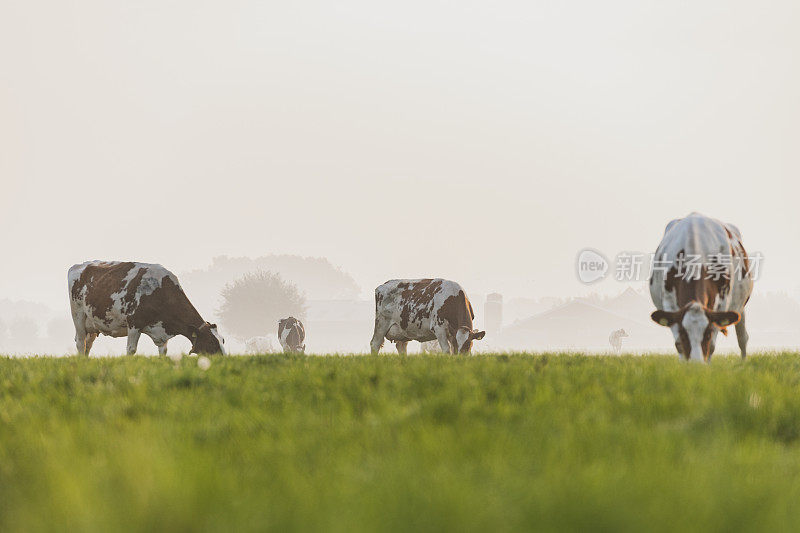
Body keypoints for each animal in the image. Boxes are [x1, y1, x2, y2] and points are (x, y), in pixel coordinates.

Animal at [67, 260, 227, 356]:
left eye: (223, 340)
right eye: (211, 342)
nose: (224, 359)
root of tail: (80, 265)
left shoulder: (162, 332)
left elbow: (163, 352)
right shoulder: (134, 323)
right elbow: (131, 350)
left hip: (92, 324)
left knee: (88, 345)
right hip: (78, 315)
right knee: (81, 342)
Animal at [648, 213, 752, 362]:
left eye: (707, 334)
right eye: (684, 334)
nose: (696, 363)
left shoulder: (722, 303)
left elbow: (712, 346)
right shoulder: (670, 304)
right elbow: (678, 345)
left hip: (740, 307)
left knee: (742, 338)